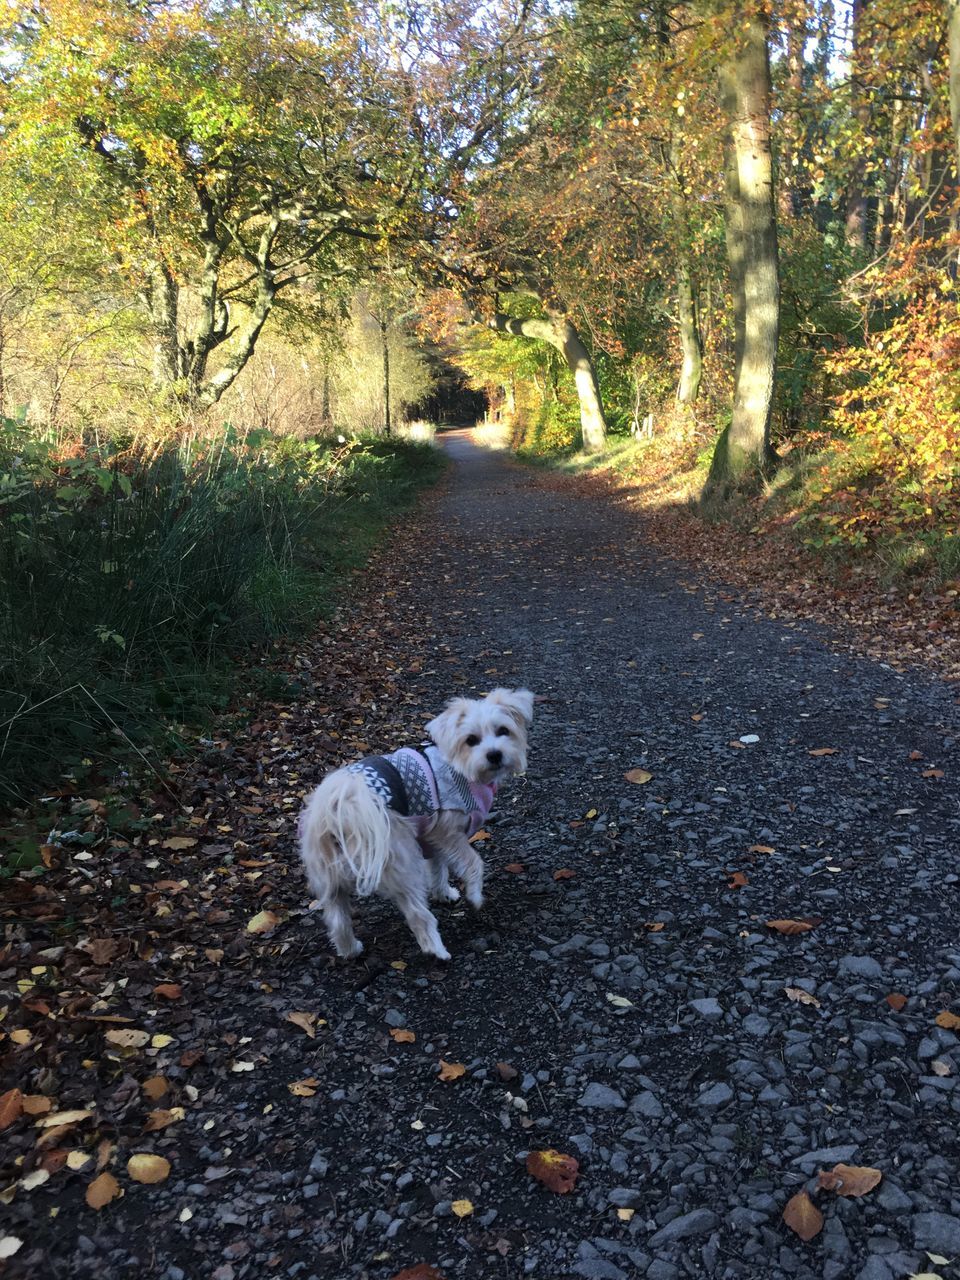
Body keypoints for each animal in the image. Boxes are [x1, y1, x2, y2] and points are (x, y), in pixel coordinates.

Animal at [296, 691, 535, 962]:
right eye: (471, 740)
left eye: (503, 730)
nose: (494, 754)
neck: (460, 768)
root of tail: (340, 807)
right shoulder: (447, 833)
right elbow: (473, 862)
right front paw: (474, 895)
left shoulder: (431, 839)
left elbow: (439, 868)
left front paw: (444, 893)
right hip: (404, 864)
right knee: (417, 915)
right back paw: (437, 950)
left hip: (330, 878)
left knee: (337, 921)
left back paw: (350, 949)